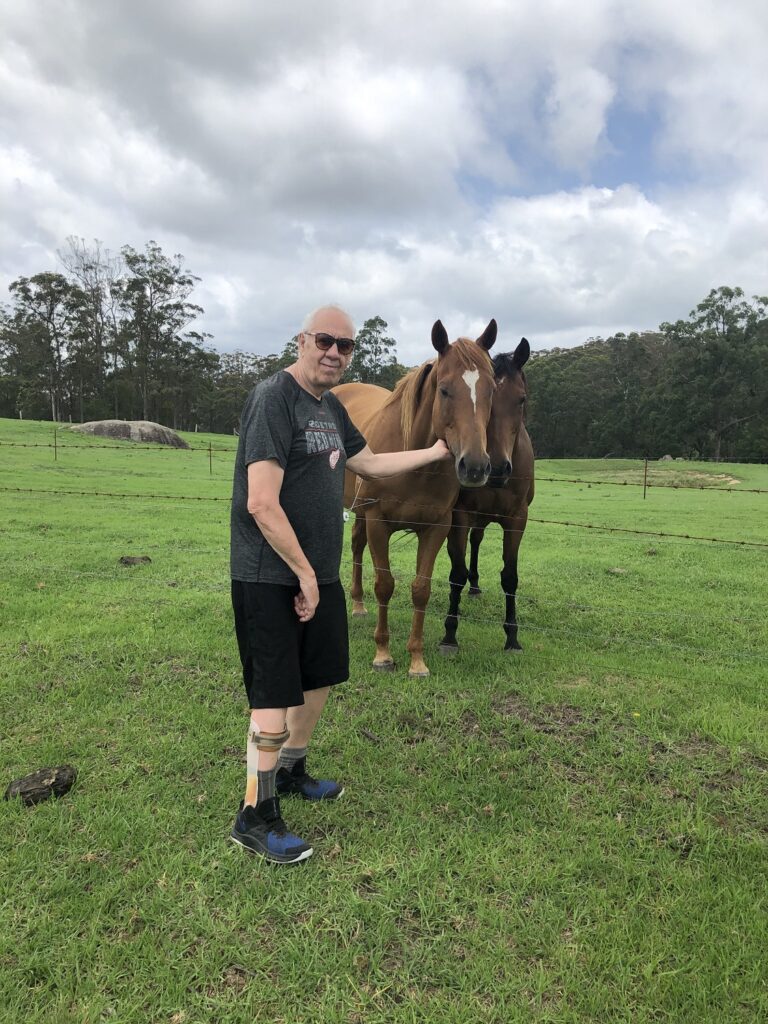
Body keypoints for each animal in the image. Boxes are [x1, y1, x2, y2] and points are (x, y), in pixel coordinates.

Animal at [334, 319, 498, 677]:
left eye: (492, 389)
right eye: (445, 389)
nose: (475, 467)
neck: (412, 458)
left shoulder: (436, 527)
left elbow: (421, 589)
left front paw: (417, 659)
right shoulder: (378, 521)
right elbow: (385, 584)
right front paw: (383, 654)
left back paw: (359, 604)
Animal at [439, 338, 534, 654]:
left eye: (521, 399)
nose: (498, 468)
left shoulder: (517, 520)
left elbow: (510, 577)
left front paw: (512, 637)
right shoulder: (461, 515)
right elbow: (456, 574)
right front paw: (449, 634)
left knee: (477, 542)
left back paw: (476, 586)